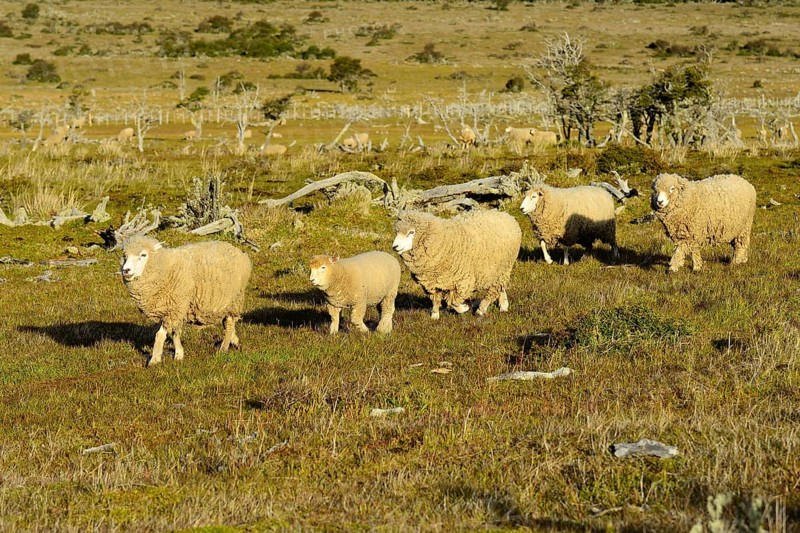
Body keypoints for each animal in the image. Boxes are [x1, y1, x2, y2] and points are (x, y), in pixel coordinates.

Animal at [120, 235, 252, 367]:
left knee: (229, 323)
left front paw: (156, 359)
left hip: (235, 299)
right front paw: (177, 354)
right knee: (227, 323)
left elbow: (162, 334)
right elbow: (174, 332)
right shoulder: (173, 309)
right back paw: (234, 341)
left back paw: (223, 348)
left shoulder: (175, 308)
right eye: (125, 256)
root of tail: (239, 252)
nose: (126, 270)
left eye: (143, 255)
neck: (166, 267)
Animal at [392, 209, 521, 319]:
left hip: (502, 267)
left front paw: (464, 308)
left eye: (411, 232)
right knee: (500, 287)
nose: (395, 246)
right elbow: (436, 299)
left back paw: (481, 309)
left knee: (493, 291)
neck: (443, 241)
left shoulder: (463, 281)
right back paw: (503, 305)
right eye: (397, 232)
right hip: (498, 271)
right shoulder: (432, 283)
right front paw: (434, 315)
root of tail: (507, 216)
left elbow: (453, 301)